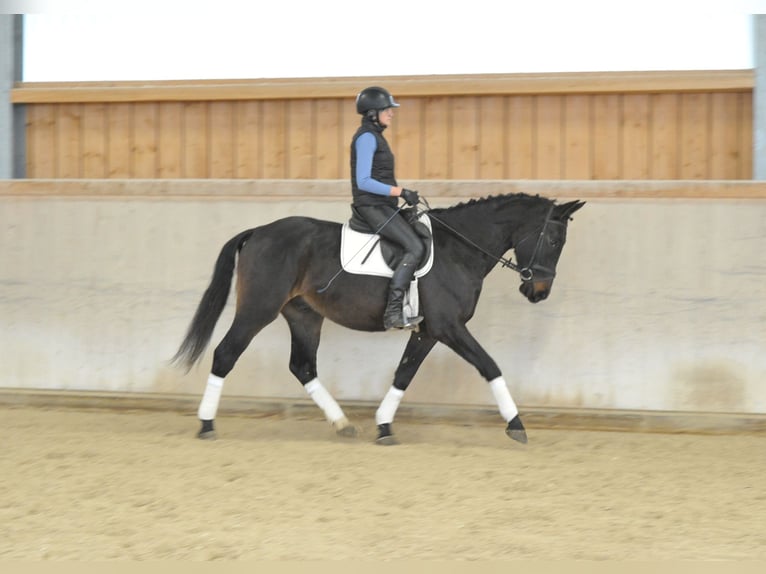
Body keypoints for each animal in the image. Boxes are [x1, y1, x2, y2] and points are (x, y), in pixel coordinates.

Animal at [172, 192, 585, 445]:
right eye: (553, 240)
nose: (539, 292)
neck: (458, 249)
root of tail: (258, 232)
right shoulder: (449, 327)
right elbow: (490, 366)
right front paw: (516, 424)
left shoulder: (428, 331)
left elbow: (404, 373)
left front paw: (384, 425)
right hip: (259, 308)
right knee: (226, 354)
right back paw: (207, 424)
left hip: (304, 315)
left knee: (303, 366)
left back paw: (342, 424)